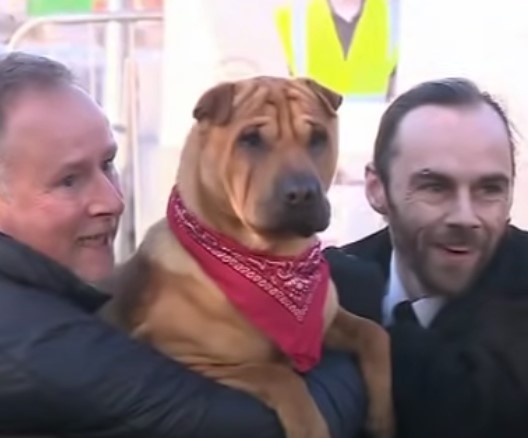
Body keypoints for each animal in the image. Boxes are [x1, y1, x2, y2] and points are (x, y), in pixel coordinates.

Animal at [102, 77, 392, 438]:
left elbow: (374, 333)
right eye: (250, 139)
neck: (275, 260)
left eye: (317, 138)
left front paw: (383, 416)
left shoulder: (329, 323)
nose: (302, 193)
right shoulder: (187, 355)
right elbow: (279, 376)